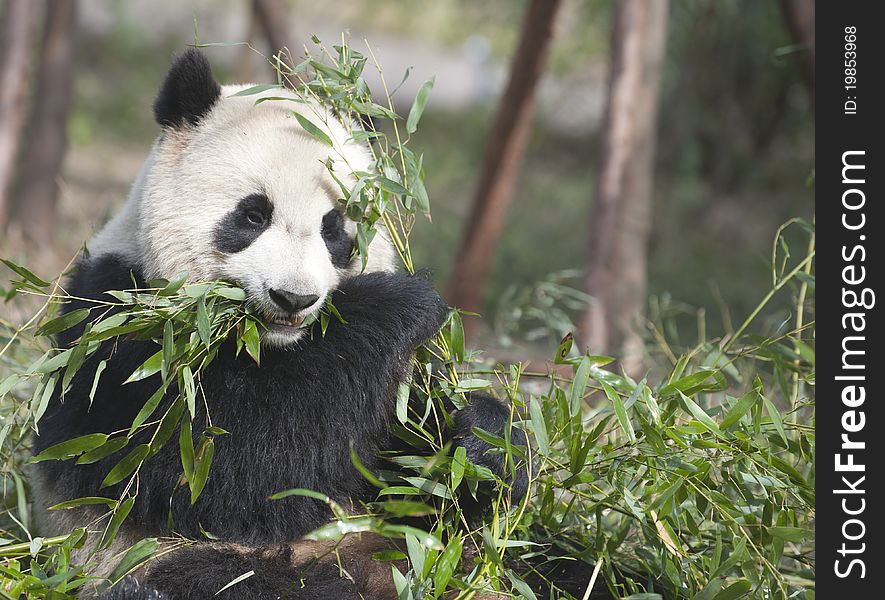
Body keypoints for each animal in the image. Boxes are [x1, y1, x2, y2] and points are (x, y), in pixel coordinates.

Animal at [31, 48, 520, 600]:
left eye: (335, 229)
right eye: (252, 216)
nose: (294, 298)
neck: (273, 345)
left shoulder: (391, 390)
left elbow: (414, 460)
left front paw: (482, 442)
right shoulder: (123, 331)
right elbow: (219, 465)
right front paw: (399, 302)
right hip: (168, 560)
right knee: (230, 582)